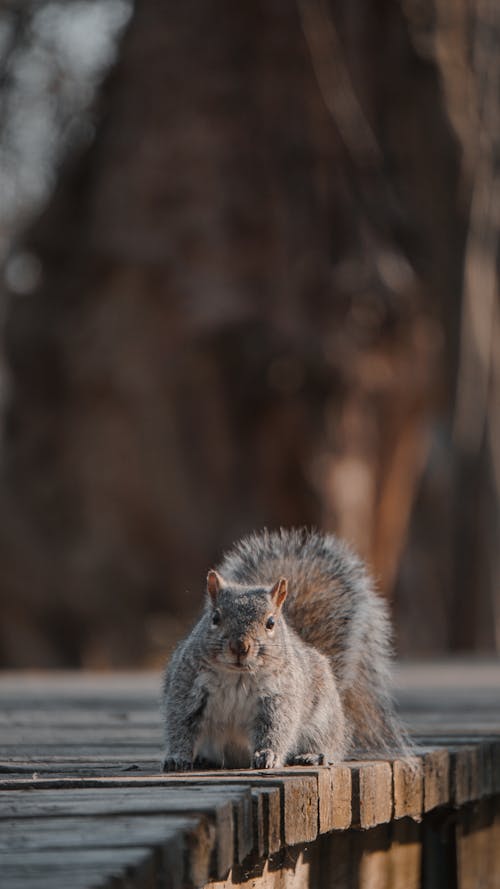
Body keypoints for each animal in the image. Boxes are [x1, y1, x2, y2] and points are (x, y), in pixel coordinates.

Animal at [162, 528, 408, 772]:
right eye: (215, 617)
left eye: (270, 622)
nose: (240, 646)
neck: (237, 675)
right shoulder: (187, 688)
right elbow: (180, 725)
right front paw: (177, 758)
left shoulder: (280, 695)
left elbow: (277, 727)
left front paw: (268, 754)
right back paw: (203, 759)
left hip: (322, 720)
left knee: (328, 743)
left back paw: (311, 755)